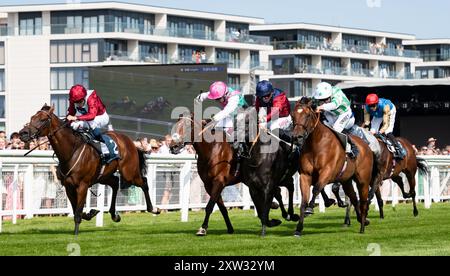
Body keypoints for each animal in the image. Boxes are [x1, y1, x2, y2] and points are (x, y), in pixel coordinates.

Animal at [19, 104, 160, 235]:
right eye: (32, 118)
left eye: (43, 119)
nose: (23, 133)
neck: (71, 151)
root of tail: (130, 141)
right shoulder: (68, 186)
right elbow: (77, 210)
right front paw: (91, 212)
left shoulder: (83, 185)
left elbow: (77, 212)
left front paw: (76, 234)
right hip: (103, 176)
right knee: (115, 183)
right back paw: (114, 215)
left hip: (129, 173)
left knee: (144, 182)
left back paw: (153, 209)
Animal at [292, 98, 372, 236]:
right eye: (292, 115)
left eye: (307, 115)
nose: (297, 137)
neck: (316, 144)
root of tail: (366, 145)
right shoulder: (305, 175)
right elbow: (303, 201)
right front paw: (298, 229)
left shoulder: (327, 172)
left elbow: (317, 188)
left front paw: (310, 208)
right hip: (347, 181)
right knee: (353, 197)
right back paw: (361, 219)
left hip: (363, 181)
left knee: (363, 200)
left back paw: (362, 225)